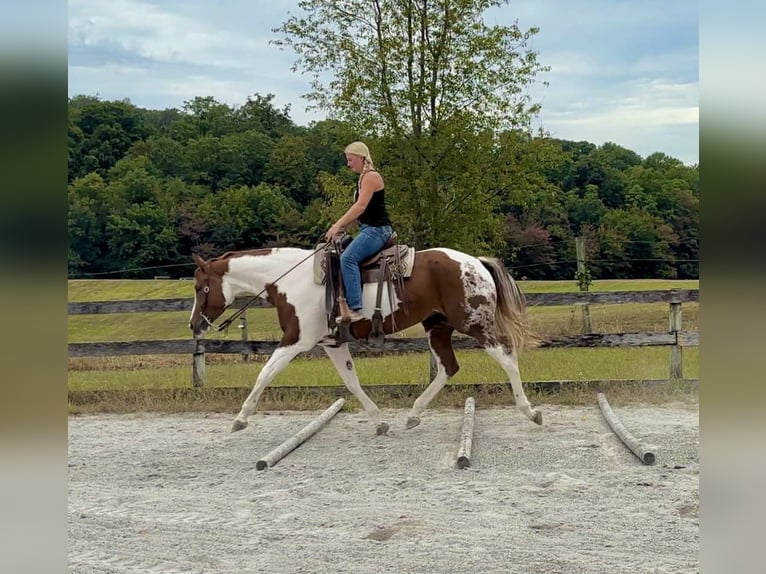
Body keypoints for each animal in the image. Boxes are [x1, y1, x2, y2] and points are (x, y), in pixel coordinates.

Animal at [188, 245, 543, 435]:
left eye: (200, 287)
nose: (194, 324)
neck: (290, 279)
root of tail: (476, 262)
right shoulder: (332, 343)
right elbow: (352, 382)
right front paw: (379, 421)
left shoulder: (295, 340)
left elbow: (265, 374)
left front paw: (240, 419)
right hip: (438, 327)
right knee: (448, 367)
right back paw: (414, 413)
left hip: (474, 325)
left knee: (507, 357)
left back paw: (530, 411)